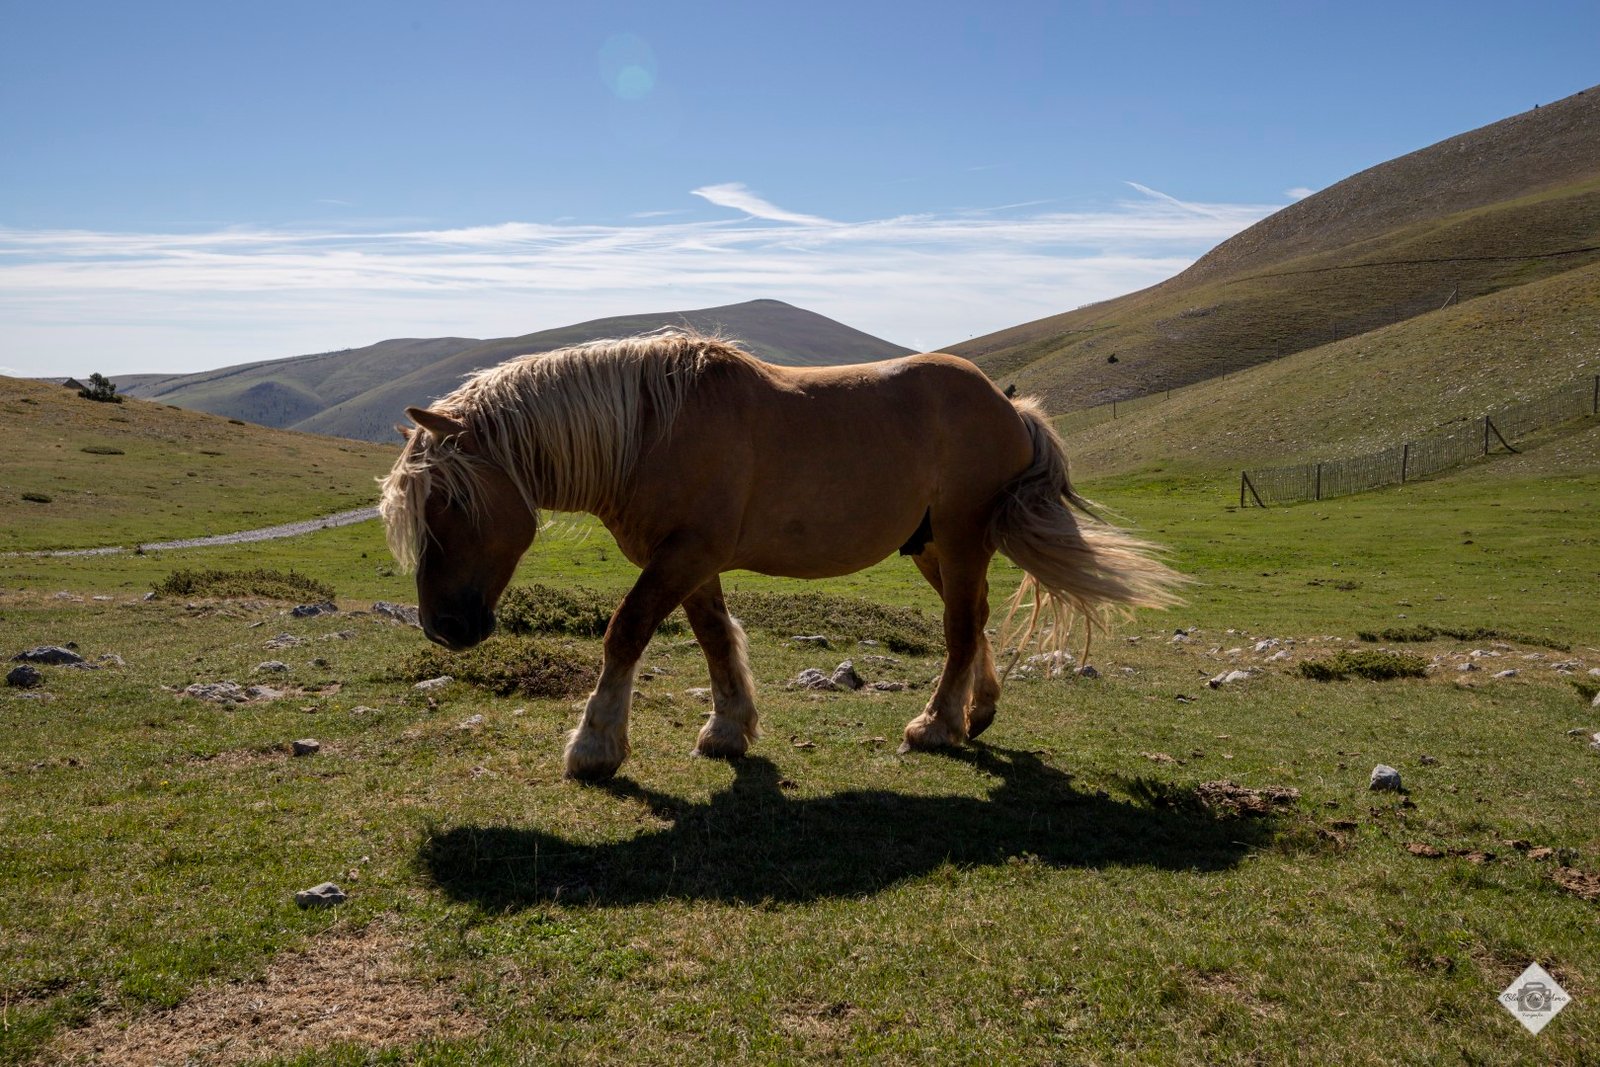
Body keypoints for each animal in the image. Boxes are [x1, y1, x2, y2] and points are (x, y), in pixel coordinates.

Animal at [379, 328, 1184, 781]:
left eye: (450, 502)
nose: (444, 627)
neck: (649, 429)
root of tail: (1007, 404)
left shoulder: (683, 554)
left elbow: (626, 632)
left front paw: (596, 745)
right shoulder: (692, 560)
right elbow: (712, 638)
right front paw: (728, 729)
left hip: (960, 539)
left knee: (960, 630)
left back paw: (934, 726)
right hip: (930, 547)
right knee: (976, 621)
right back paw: (975, 714)